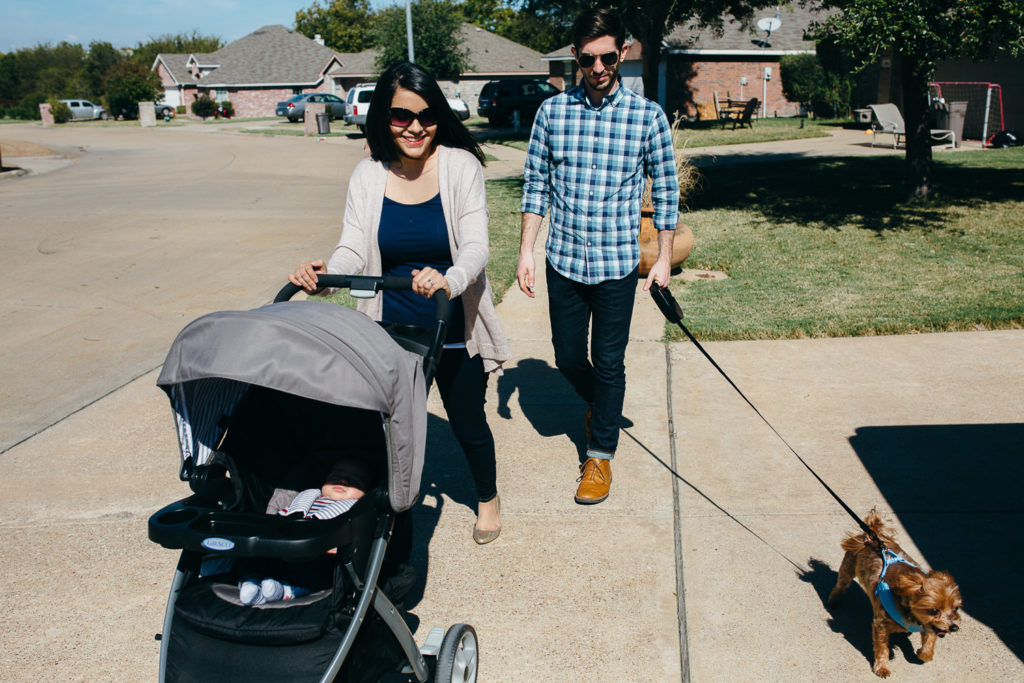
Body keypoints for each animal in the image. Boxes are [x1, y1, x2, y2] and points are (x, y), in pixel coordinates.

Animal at [827, 507, 962, 679]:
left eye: (956, 609)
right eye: (934, 610)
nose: (954, 627)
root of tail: (872, 538)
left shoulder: (929, 625)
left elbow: (929, 640)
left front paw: (923, 653)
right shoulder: (881, 625)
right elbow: (882, 648)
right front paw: (882, 667)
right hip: (848, 569)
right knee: (841, 585)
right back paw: (834, 600)